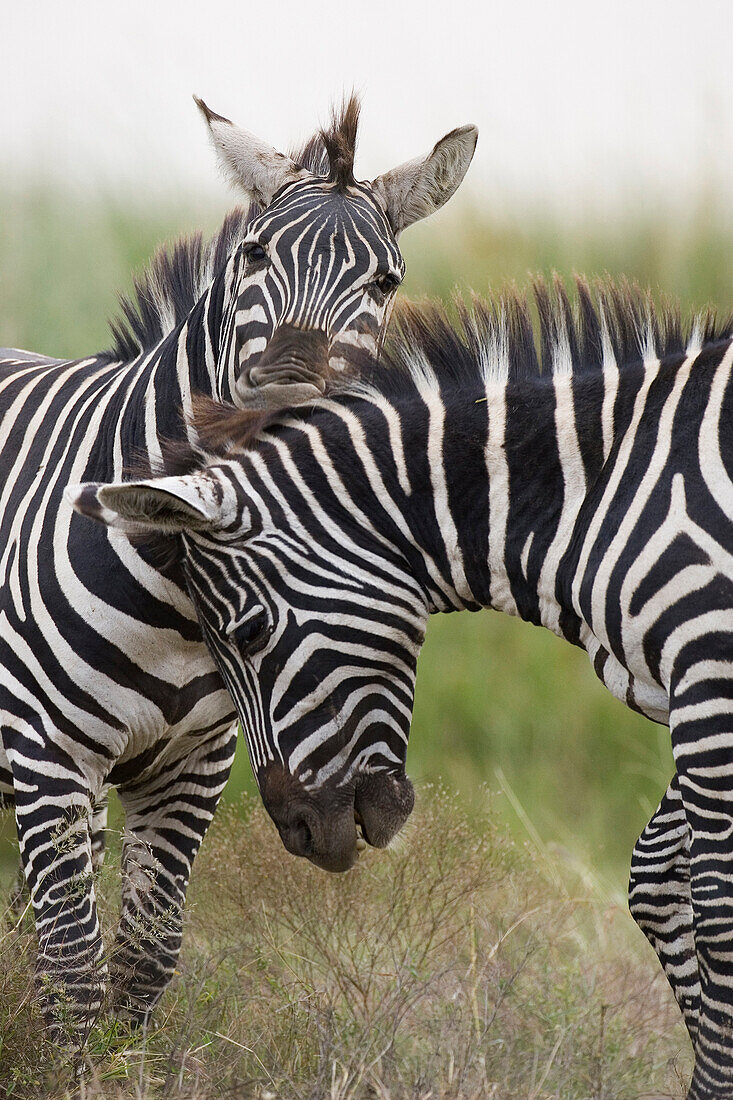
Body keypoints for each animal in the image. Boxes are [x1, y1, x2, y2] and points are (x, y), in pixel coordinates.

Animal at [0, 94, 477, 1038]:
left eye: (385, 282)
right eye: (255, 253)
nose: (291, 390)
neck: (181, 610)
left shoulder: (193, 769)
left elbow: (141, 965)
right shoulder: (47, 757)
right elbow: (73, 974)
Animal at [75, 279, 733, 1095]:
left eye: (250, 634)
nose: (299, 833)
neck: (606, 488)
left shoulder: (709, 675)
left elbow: (712, 901)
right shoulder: (686, 693)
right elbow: (656, 876)